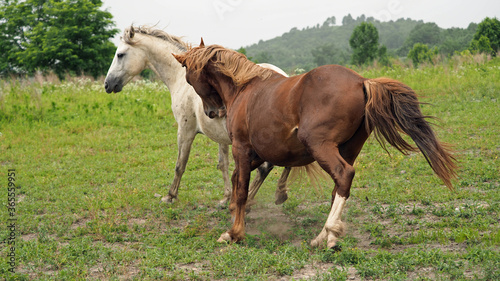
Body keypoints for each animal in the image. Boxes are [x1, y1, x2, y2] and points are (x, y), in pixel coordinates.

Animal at [105, 25, 292, 206]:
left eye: (120, 55)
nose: (107, 84)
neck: (180, 78)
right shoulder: (221, 136)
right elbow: (223, 164)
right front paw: (226, 197)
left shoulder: (185, 130)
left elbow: (180, 164)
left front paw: (170, 196)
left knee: (267, 166)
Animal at [172, 40, 458, 247]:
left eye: (188, 78)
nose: (212, 112)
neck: (244, 88)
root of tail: (361, 81)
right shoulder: (258, 153)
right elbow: (237, 179)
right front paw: (235, 213)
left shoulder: (242, 147)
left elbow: (241, 188)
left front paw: (234, 233)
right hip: (348, 148)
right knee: (338, 187)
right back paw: (325, 234)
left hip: (320, 146)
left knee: (344, 175)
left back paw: (328, 234)